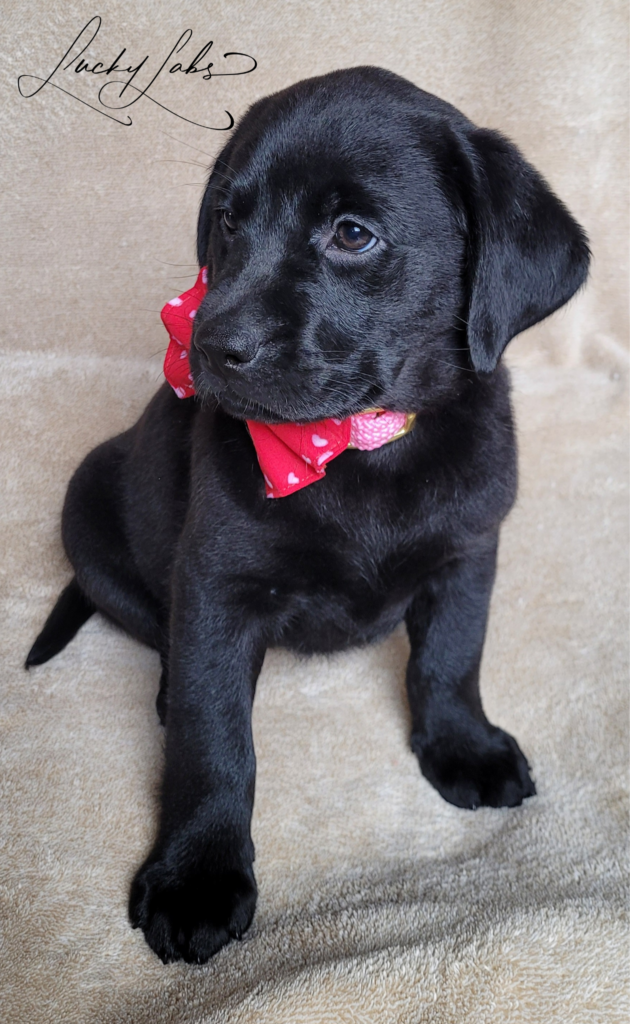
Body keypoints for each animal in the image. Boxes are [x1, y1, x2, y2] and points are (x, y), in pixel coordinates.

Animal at [27, 68, 590, 962]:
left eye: (352, 234)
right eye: (227, 220)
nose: (208, 345)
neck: (356, 445)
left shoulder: (469, 552)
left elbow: (450, 660)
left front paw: (463, 746)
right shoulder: (216, 586)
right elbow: (214, 741)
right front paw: (197, 875)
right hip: (86, 511)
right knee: (166, 646)